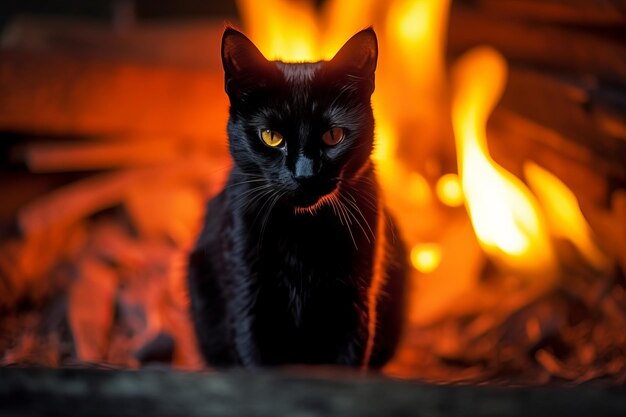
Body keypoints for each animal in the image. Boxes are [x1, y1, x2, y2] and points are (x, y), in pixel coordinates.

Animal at [188, 26, 408, 368]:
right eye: (271, 137)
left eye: (333, 136)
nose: (304, 174)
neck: (303, 234)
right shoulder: (247, 290)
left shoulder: (355, 301)